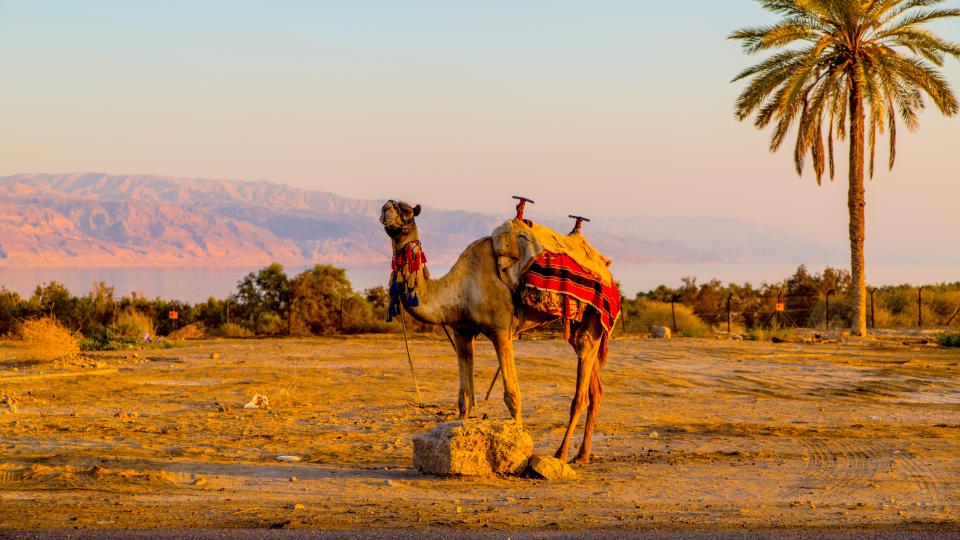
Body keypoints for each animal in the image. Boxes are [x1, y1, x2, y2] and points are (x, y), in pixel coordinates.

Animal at [380, 200, 610, 464]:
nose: (386, 209)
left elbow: (512, 395)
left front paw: (519, 449)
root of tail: (607, 271)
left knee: (581, 390)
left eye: (407, 211)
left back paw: (561, 454)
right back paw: (582, 455)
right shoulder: (462, 332)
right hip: (580, 325)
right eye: (387, 206)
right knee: (595, 389)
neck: (458, 289)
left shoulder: (501, 331)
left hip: (592, 318)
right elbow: (464, 398)